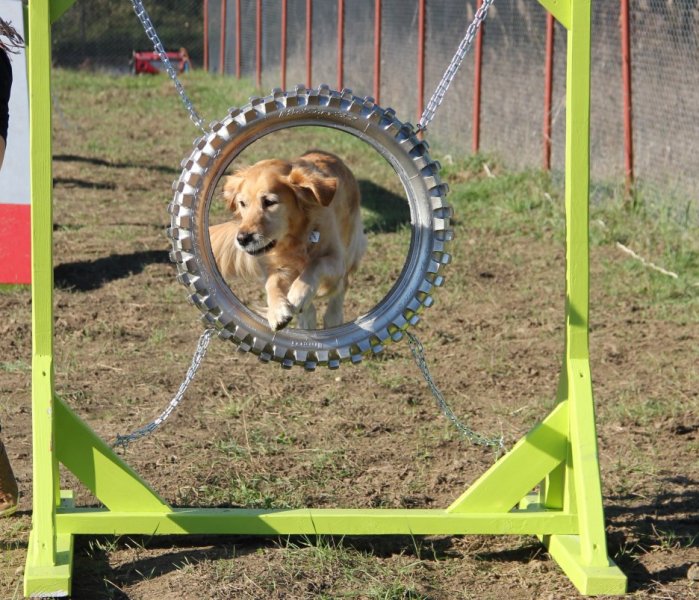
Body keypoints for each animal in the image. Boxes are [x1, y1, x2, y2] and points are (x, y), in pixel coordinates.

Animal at [209, 150, 367, 331]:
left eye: (269, 202)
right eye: (242, 203)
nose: (242, 239)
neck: (295, 238)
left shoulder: (336, 259)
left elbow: (316, 264)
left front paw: (298, 295)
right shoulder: (279, 266)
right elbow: (272, 283)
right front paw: (277, 311)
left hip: (350, 250)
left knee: (341, 288)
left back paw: (331, 315)